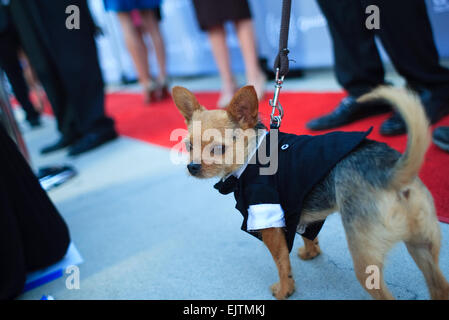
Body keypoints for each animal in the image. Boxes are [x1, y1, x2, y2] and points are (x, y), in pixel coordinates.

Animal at [172, 85, 448, 300]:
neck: (253, 154)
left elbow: (282, 262)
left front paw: (285, 290)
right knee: (439, 287)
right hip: (424, 246)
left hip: (367, 263)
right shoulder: (299, 210)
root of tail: (389, 171)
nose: (192, 166)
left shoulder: (269, 223)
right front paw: (311, 253)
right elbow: (308, 235)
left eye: (218, 149)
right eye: (189, 145)